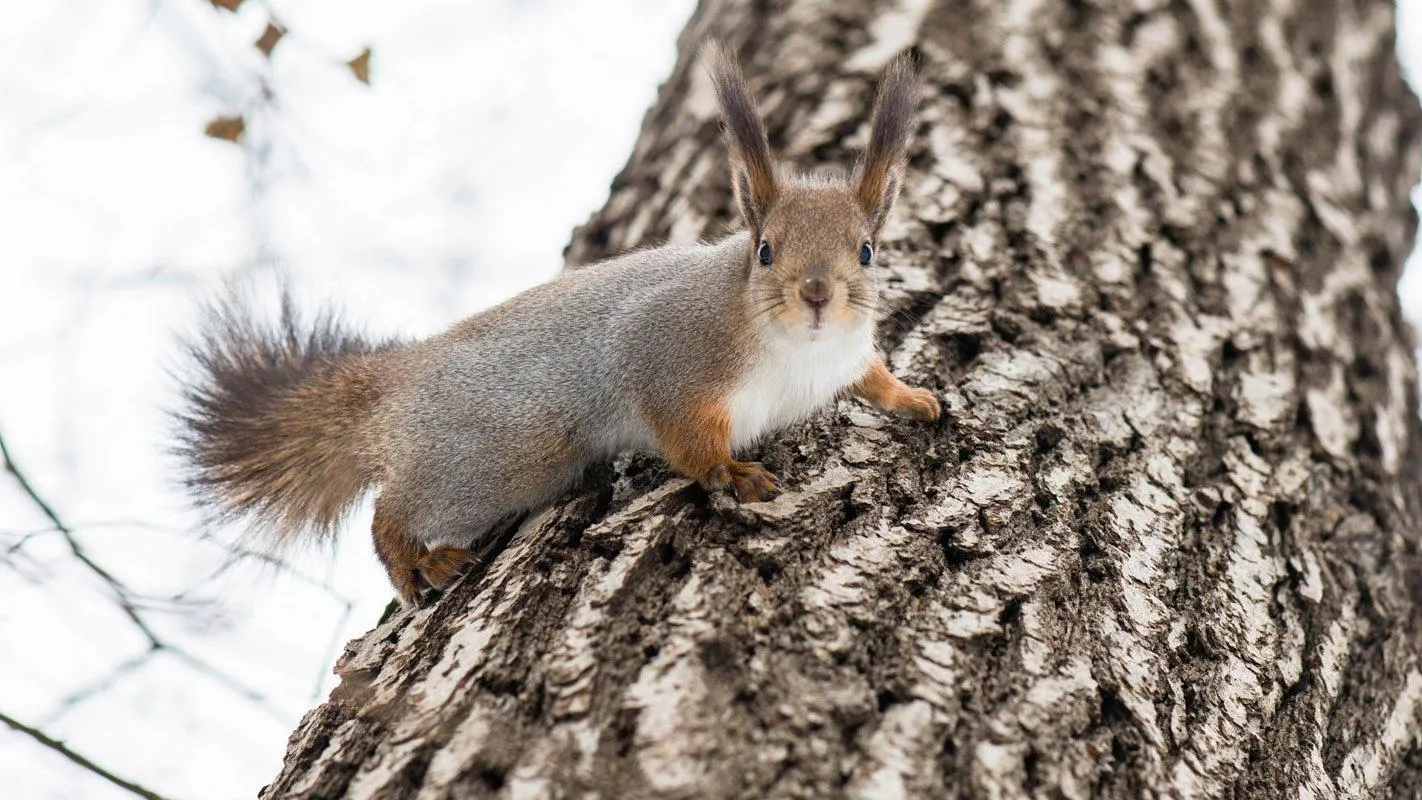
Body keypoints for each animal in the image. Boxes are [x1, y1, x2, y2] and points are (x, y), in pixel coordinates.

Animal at [172, 42, 938, 608]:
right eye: (765, 250)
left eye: (867, 251)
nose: (816, 295)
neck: (796, 352)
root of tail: (397, 379)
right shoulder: (668, 356)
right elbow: (685, 437)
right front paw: (729, 472)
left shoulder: (845, 355)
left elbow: (872, 376)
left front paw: (913, 398)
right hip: (496, 454)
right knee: (388, 512)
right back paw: (417, 567)